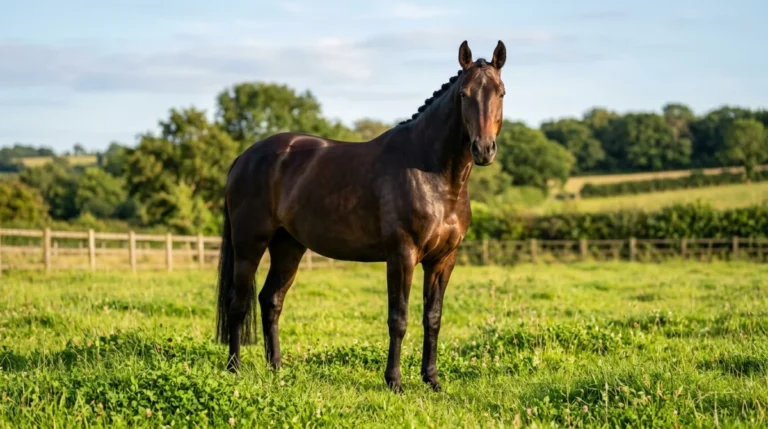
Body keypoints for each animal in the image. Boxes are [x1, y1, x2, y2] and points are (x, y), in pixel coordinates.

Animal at [215, 40, 507, 393]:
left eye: (501, 92)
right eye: (464, 94)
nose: (484, 150)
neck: (432, 171)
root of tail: (244, 157)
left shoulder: (443, 259)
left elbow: (433, 318)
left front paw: (432, 380)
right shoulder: (402, 255)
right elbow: (399, 318)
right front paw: (394, 382)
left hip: (288, 246)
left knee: (271, 300)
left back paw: (277, 369)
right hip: (249, 244)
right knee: (238, 303)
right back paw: (234, 369)